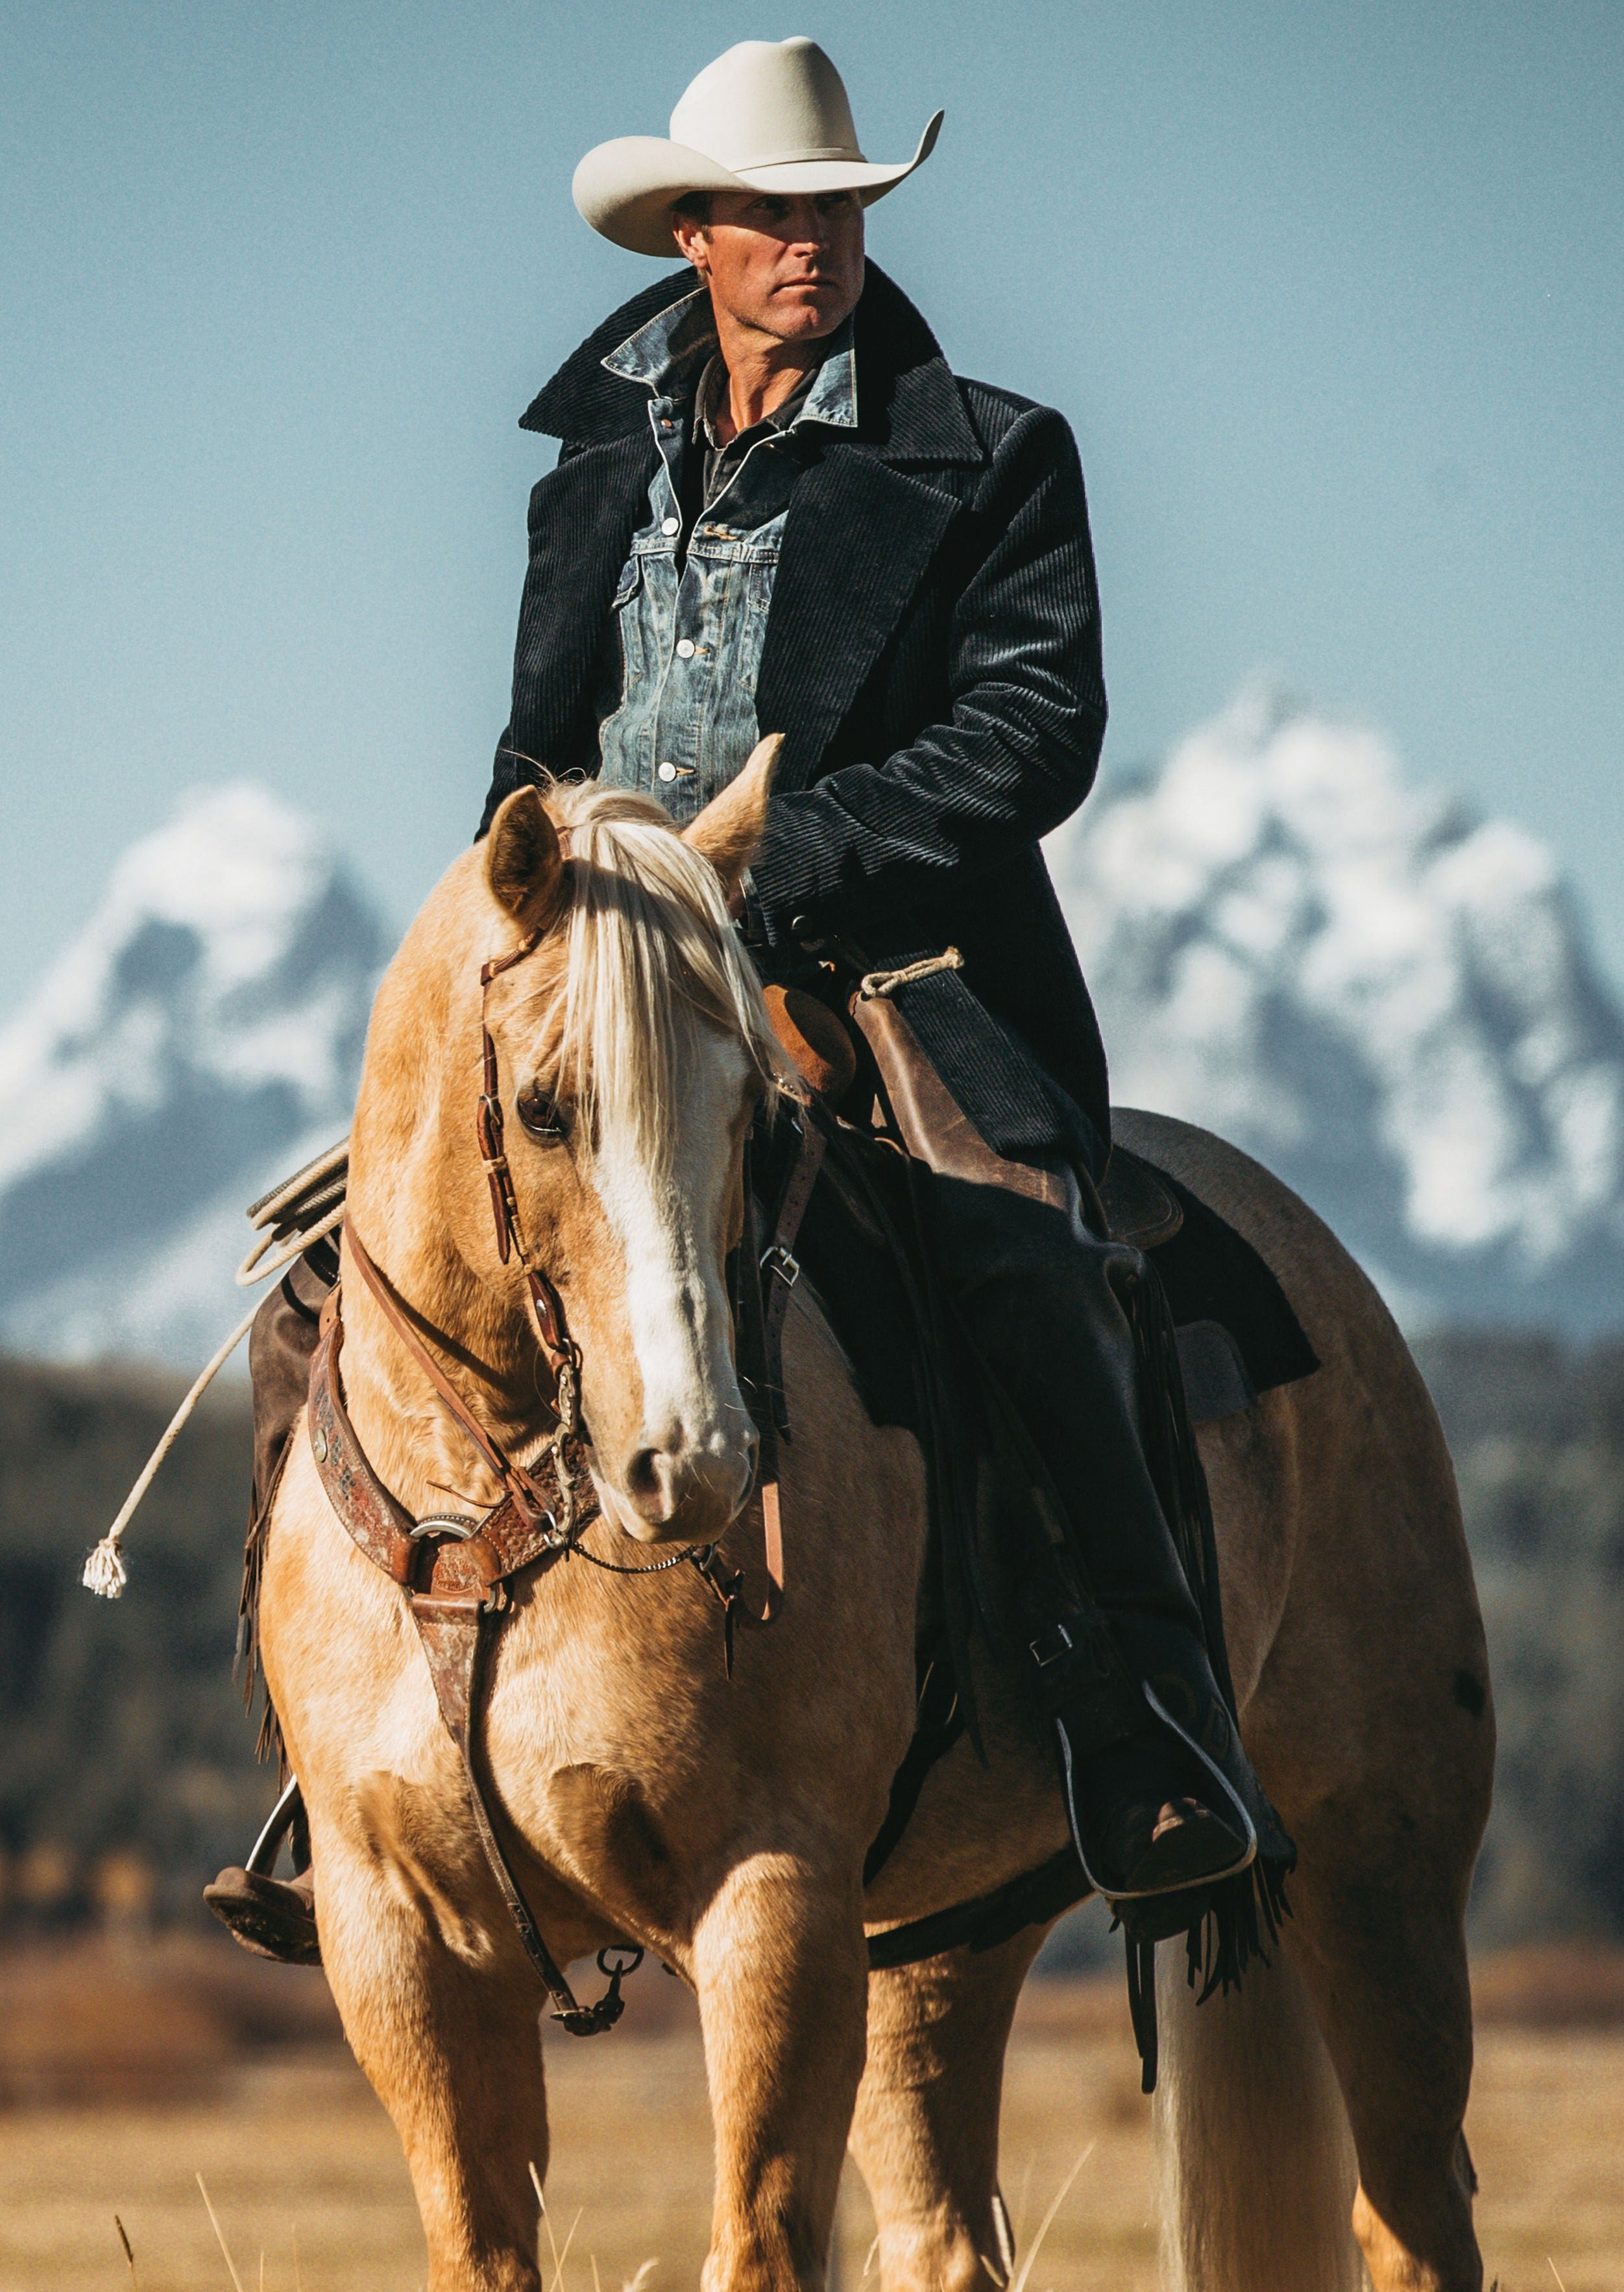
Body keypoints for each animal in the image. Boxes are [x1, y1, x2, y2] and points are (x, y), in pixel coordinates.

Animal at [256, 751, 1493, 2292]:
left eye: (751, 1112)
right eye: (543, 1108)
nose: (695, 1461)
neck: (495, 1527)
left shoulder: (772, 1897)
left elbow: (760, 2241)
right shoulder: (404, 1943)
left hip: (1381, 1866)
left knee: (1415, 2208)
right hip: (939, 1938)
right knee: (947, 2229)